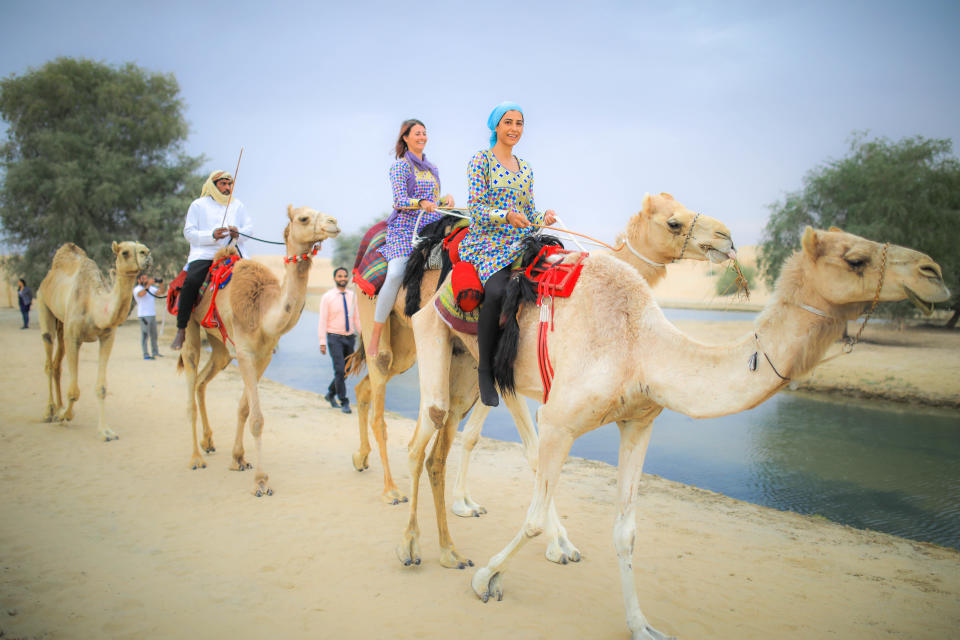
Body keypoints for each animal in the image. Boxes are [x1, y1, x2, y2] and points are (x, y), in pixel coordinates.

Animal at [36, 240, 152, 440]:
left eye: (143, 248)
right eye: (125, 252)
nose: (147, 253)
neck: (94, 306)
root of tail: (47, 278)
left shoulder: (107, 337)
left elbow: (102, 388)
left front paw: (106, 432)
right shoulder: (74, 337)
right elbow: (74, 390)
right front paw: (66, 415)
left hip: (62, 325)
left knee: (57, 365)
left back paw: (59, 407)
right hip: (44, 304)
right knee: (49, 359)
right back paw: (49, 412)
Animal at [179, 205, 342, 496]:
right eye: (303, 218)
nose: (334, 222)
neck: (263, 311)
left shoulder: (264, 355)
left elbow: (244, 409)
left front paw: (238, 459)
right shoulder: (245, 352)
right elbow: (256, 418)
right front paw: (261, 482)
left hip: (220, 345)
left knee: (202, 380)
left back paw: (209, 442)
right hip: (189, 323)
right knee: (190, 370)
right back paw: (196, 458)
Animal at [352, 195, 736, 516]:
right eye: (674, 223)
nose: (726, 237)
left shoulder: (490, 371)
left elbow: (474, 434)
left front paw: (465, 502)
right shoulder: (505, 371)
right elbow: (532, 452)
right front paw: (559, 545)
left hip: (409, 344)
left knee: (365, 386)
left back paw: (361, 458)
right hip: (378, 317)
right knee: (379, 384)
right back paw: (390, 490)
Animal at [402, 228, 948, 636]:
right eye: (855, 258)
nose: (935, 275)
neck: (640, 346)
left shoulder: (639, 420)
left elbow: (626, 532)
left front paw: (642, 625)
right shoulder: (562, 419)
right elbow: (534, 512)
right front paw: (487, 579)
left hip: (486, 367)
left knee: (469, 429)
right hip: (433, 330)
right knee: (427, 425)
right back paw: (420, 548)